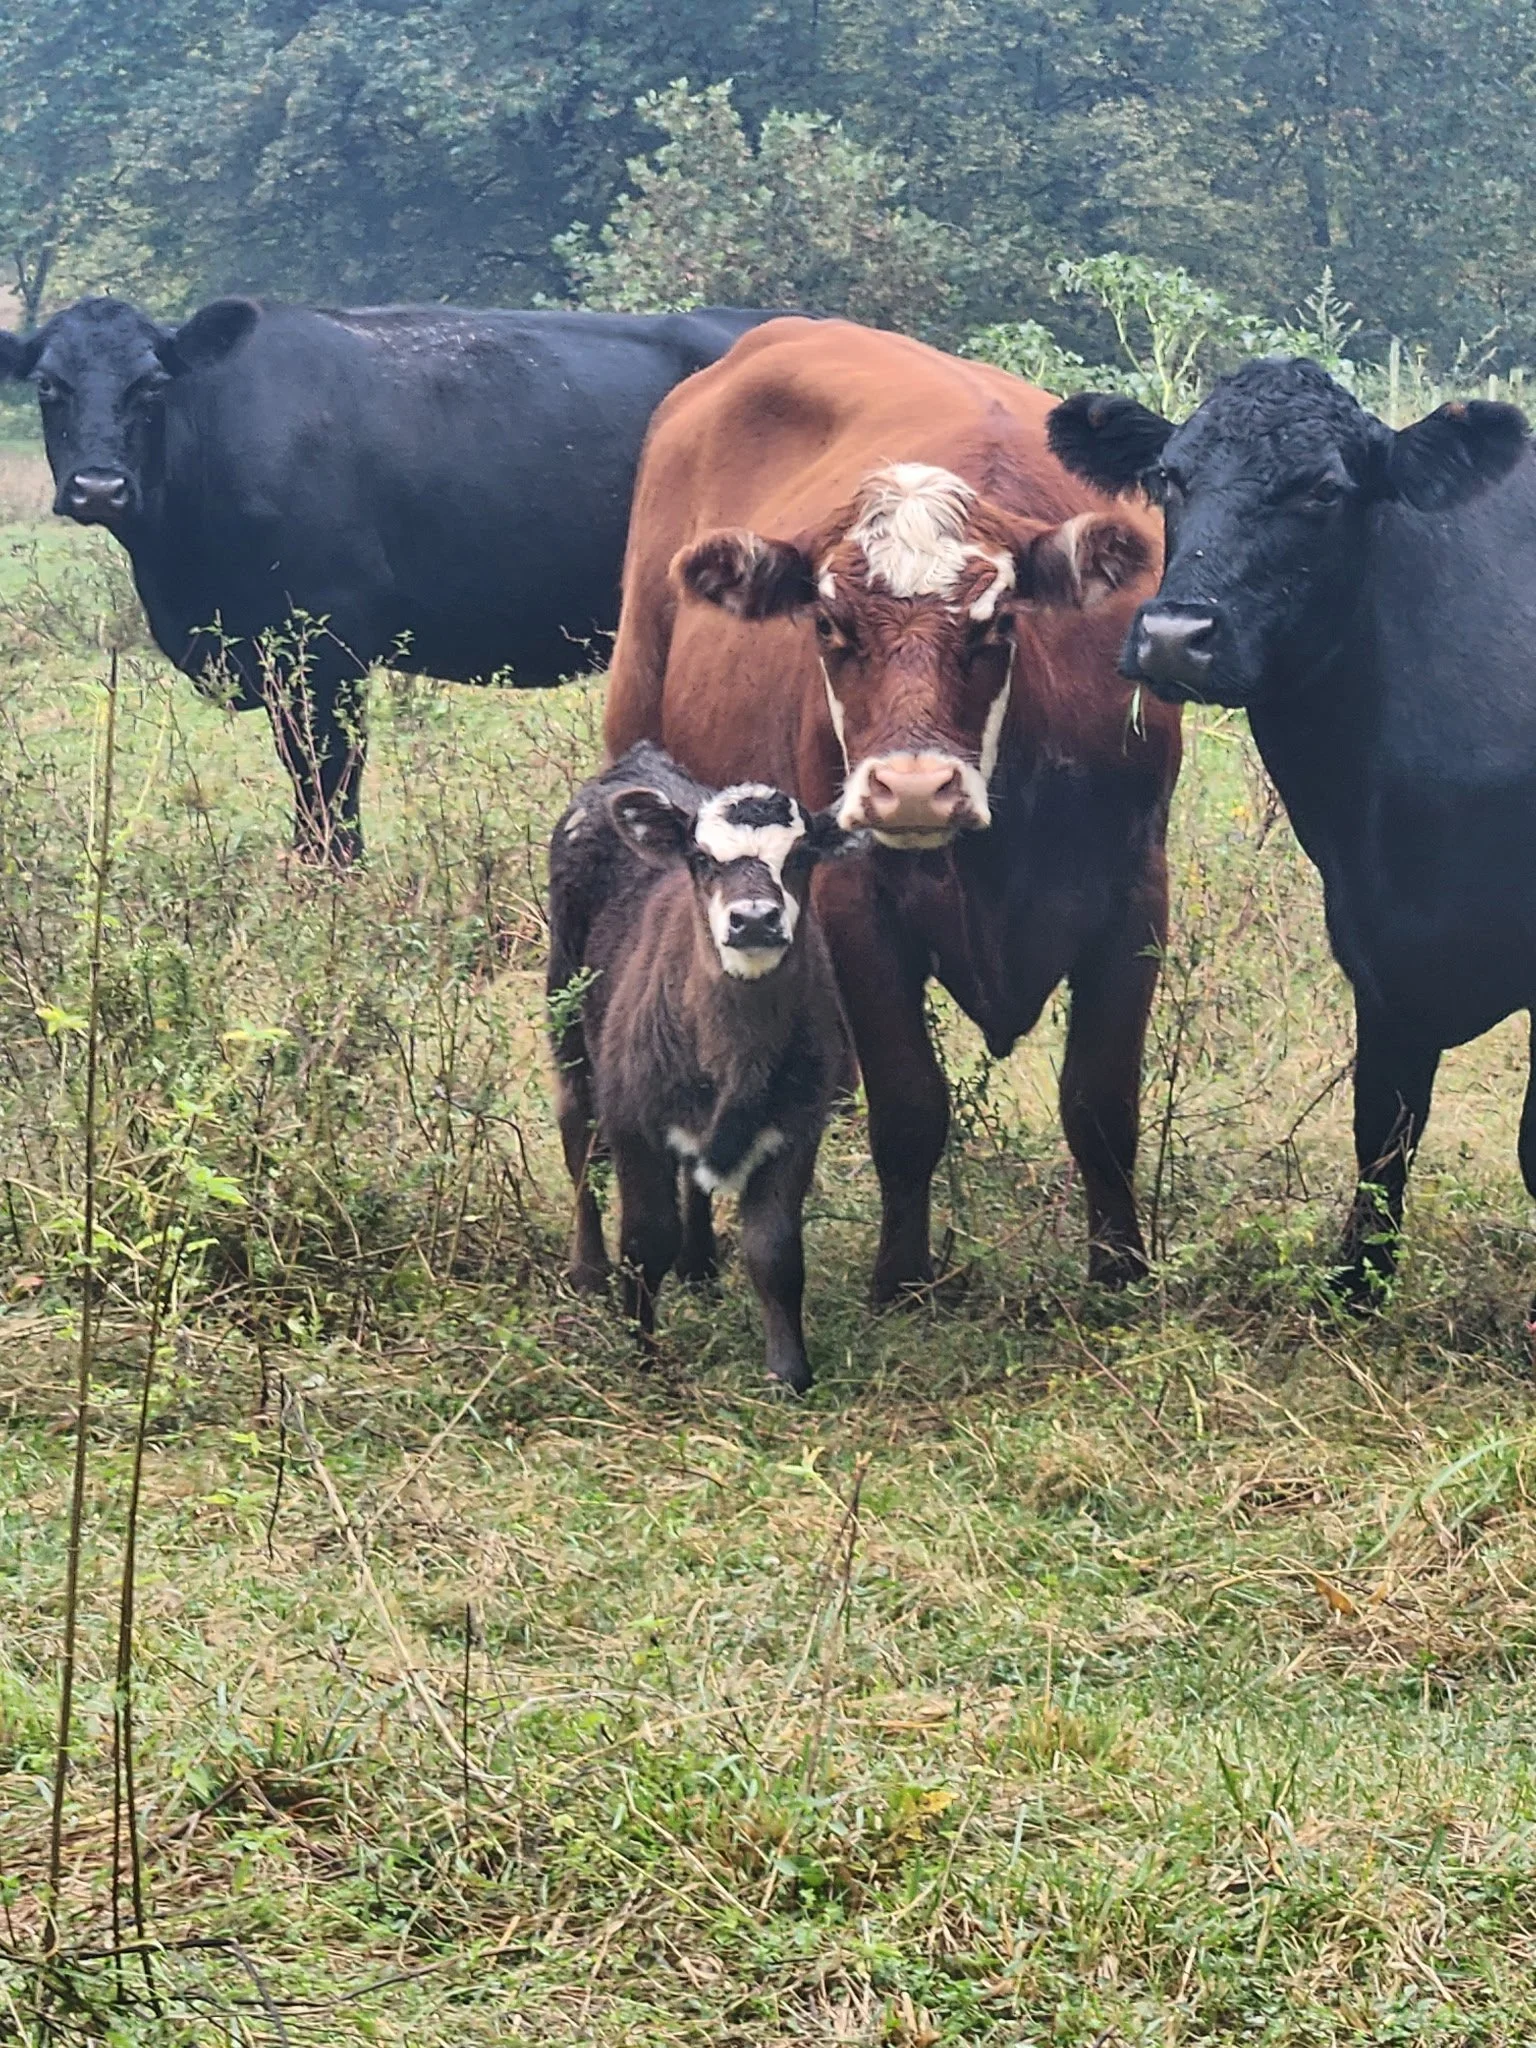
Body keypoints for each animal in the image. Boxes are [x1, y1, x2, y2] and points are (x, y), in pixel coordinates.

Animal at [0, 296, 785, 863]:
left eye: (153, 383)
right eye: (47, 384)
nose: (99, 487)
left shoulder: (328, 644)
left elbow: (328, 777)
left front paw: (332, 879)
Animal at [548, 741, 858, 1391]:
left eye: (800, 855)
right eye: (701, 858)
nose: (755, 919)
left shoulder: (798, 1127)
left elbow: (774, 1249)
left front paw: (789, 1371)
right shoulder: (633, 1121)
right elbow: (646, 1239)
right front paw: (642, 1352)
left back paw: (699, 1265)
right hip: (565, 1013)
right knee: (576, 1132)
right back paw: (588, 1269)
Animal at [604, 317, 1181, 1305]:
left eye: (996, 623)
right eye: (829, 625)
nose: (911, 788)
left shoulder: (1135, 892)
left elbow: (1102, 1102)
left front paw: (1118, 1272)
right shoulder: (853, 904)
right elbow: (910, 1105)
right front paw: (902, 1278)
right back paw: (696, 1254)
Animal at [1047, 359, 1533, 1306]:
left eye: (1325, 490)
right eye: (1169, 476)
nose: (1175, 635)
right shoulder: (1376, 947)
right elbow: (1383, 1121)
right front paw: (1356, 1283)